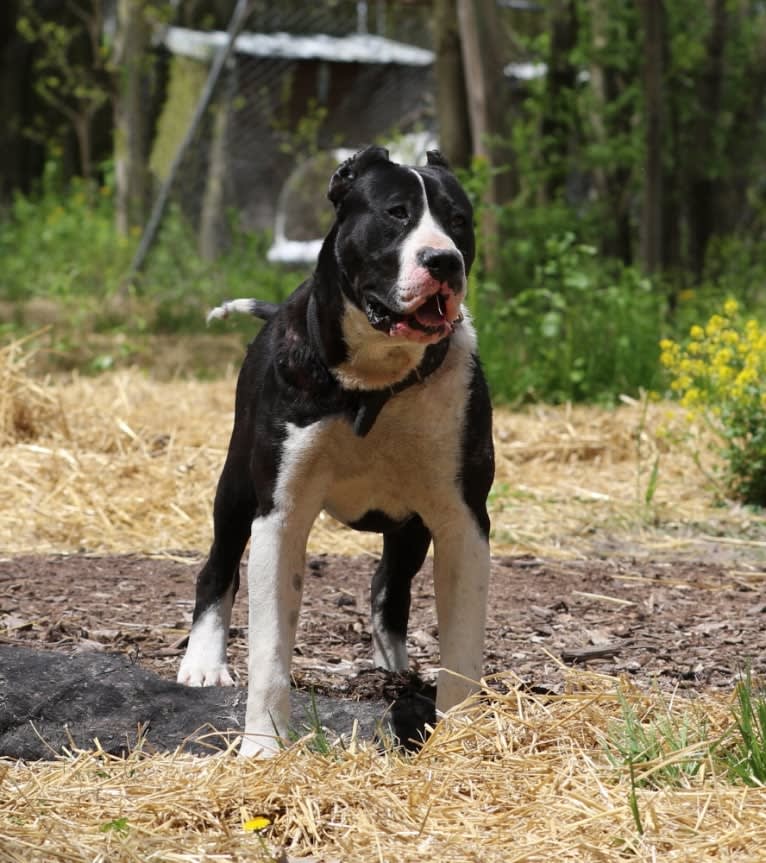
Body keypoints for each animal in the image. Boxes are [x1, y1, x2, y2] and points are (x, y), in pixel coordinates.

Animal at [177, 147, 496, 756]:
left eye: (459, 220)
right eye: (396, 213)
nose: (443, 261)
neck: (374, 381)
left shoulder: (462, 521)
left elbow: (463, 647)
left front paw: (460, 739)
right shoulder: (279, 516)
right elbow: (271, 648)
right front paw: (264, 745)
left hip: (410, 527)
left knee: (387, 589)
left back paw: (393, 668)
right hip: (235, 490)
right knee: (217, 567)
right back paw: (202, 662)